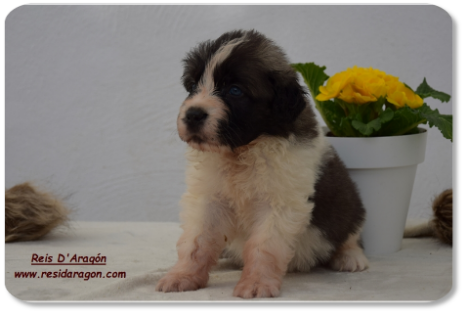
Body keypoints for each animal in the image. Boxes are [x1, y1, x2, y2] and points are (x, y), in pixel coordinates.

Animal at [157, 29, 370, 298]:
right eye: (193, 86)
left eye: (235, 90)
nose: (193, 114)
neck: (242, 152)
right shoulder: (209, 199)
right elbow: (197, 240)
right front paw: (183, 276)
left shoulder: (279, 204)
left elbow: (263, 246)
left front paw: (256, 283)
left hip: (350, 205)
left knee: (350, 232)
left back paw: (351, 257)